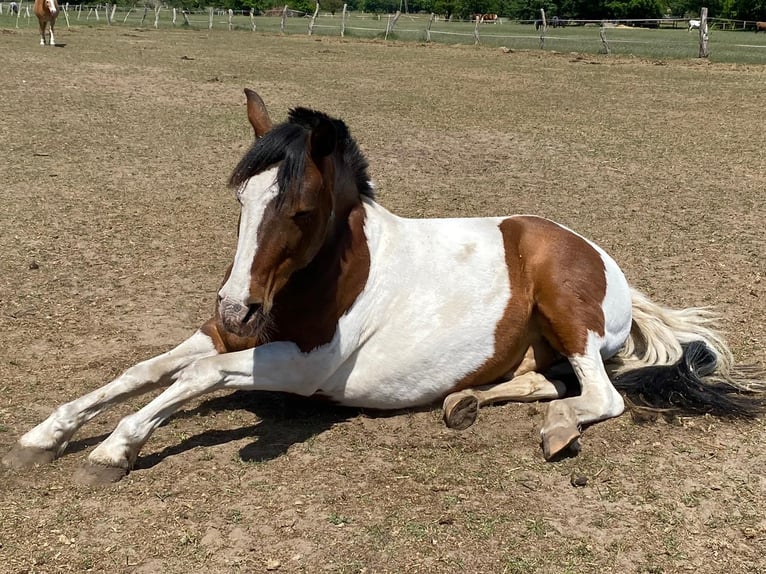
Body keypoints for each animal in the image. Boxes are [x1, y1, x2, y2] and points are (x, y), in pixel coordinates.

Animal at [3, 89, 763, 485]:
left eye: (300, 210)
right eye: (239, 197)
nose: (238, 308)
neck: (327, 280)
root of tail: (605, 262)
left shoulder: (302, 367)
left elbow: (194, 378)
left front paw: (115, 448)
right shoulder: (226, 336)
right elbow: (143, 371)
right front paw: (45, 434)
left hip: (564, 306)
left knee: (601, 395)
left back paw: (553, 431)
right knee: (549, 380)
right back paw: (465, 402)